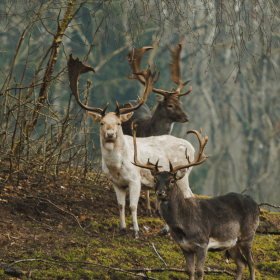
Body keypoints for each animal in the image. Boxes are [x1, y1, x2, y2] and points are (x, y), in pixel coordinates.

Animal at [132, 126, 260, 278]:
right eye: (156, 180)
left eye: (172, 180)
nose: (160, 193)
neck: (182, 226)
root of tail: (255, 204)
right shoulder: (185, 247)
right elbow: (190, 271)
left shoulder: (202, 243)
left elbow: (199, 272)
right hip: (232, 243)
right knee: (241, 263)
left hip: (248, 235)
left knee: (252, 264)